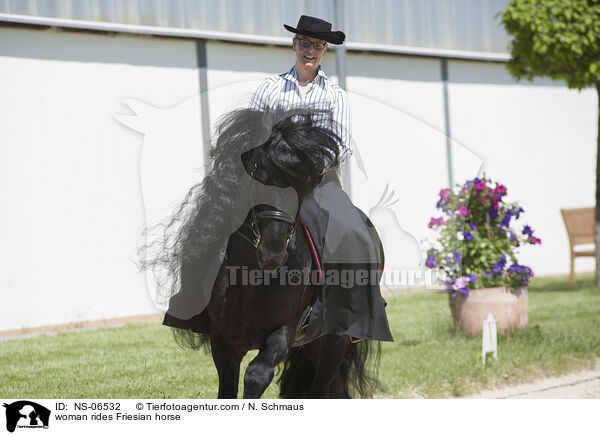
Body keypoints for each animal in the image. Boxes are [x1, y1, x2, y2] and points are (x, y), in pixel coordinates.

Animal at [144, 108, 380, 398]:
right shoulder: (224, 342)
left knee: (321, 388)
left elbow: (256, 375)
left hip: (333, 341)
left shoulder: (284, 332)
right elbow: (227, 389)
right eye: (260, 175)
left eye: (302, 185)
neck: (250, 275)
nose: (273, 254)